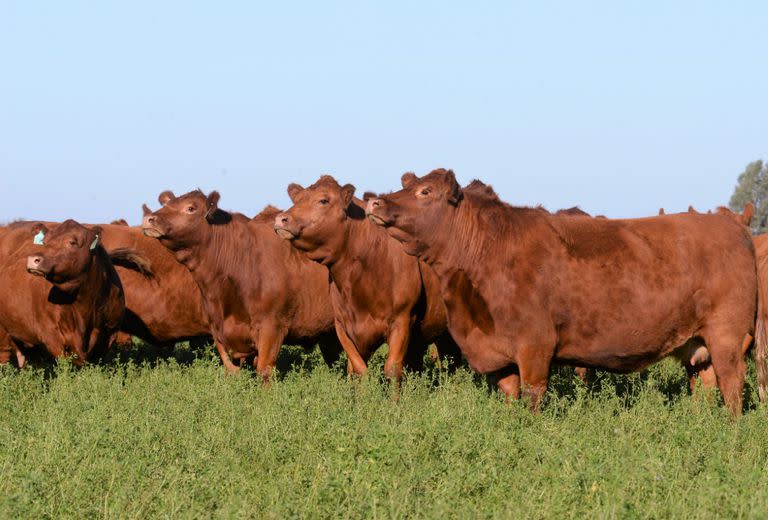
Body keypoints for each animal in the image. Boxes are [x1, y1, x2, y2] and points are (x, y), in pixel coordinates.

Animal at [139, 191, 342, 378]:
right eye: (167, 204)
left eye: (190, 208)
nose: (149, 219)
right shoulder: (218, 330)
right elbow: (232, 370)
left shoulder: (272, 327)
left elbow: (264, 371)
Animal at [272, 177, 460, 380]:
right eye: (297, 199)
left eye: (323, 200)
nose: (281, 219)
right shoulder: (343, 326)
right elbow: (357, 369)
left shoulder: (402, 320)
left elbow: (392, 369)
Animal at [366, 168, 760, 414]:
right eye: (408, 184)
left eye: (425, 191)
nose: (374, 201)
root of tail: (730, 224)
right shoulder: (501, 359)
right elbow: (510, 398)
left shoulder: (535, 347)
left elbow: (532, 398)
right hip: (698, 344)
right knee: (706, 387)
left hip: (727, 336)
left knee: (732, 386)